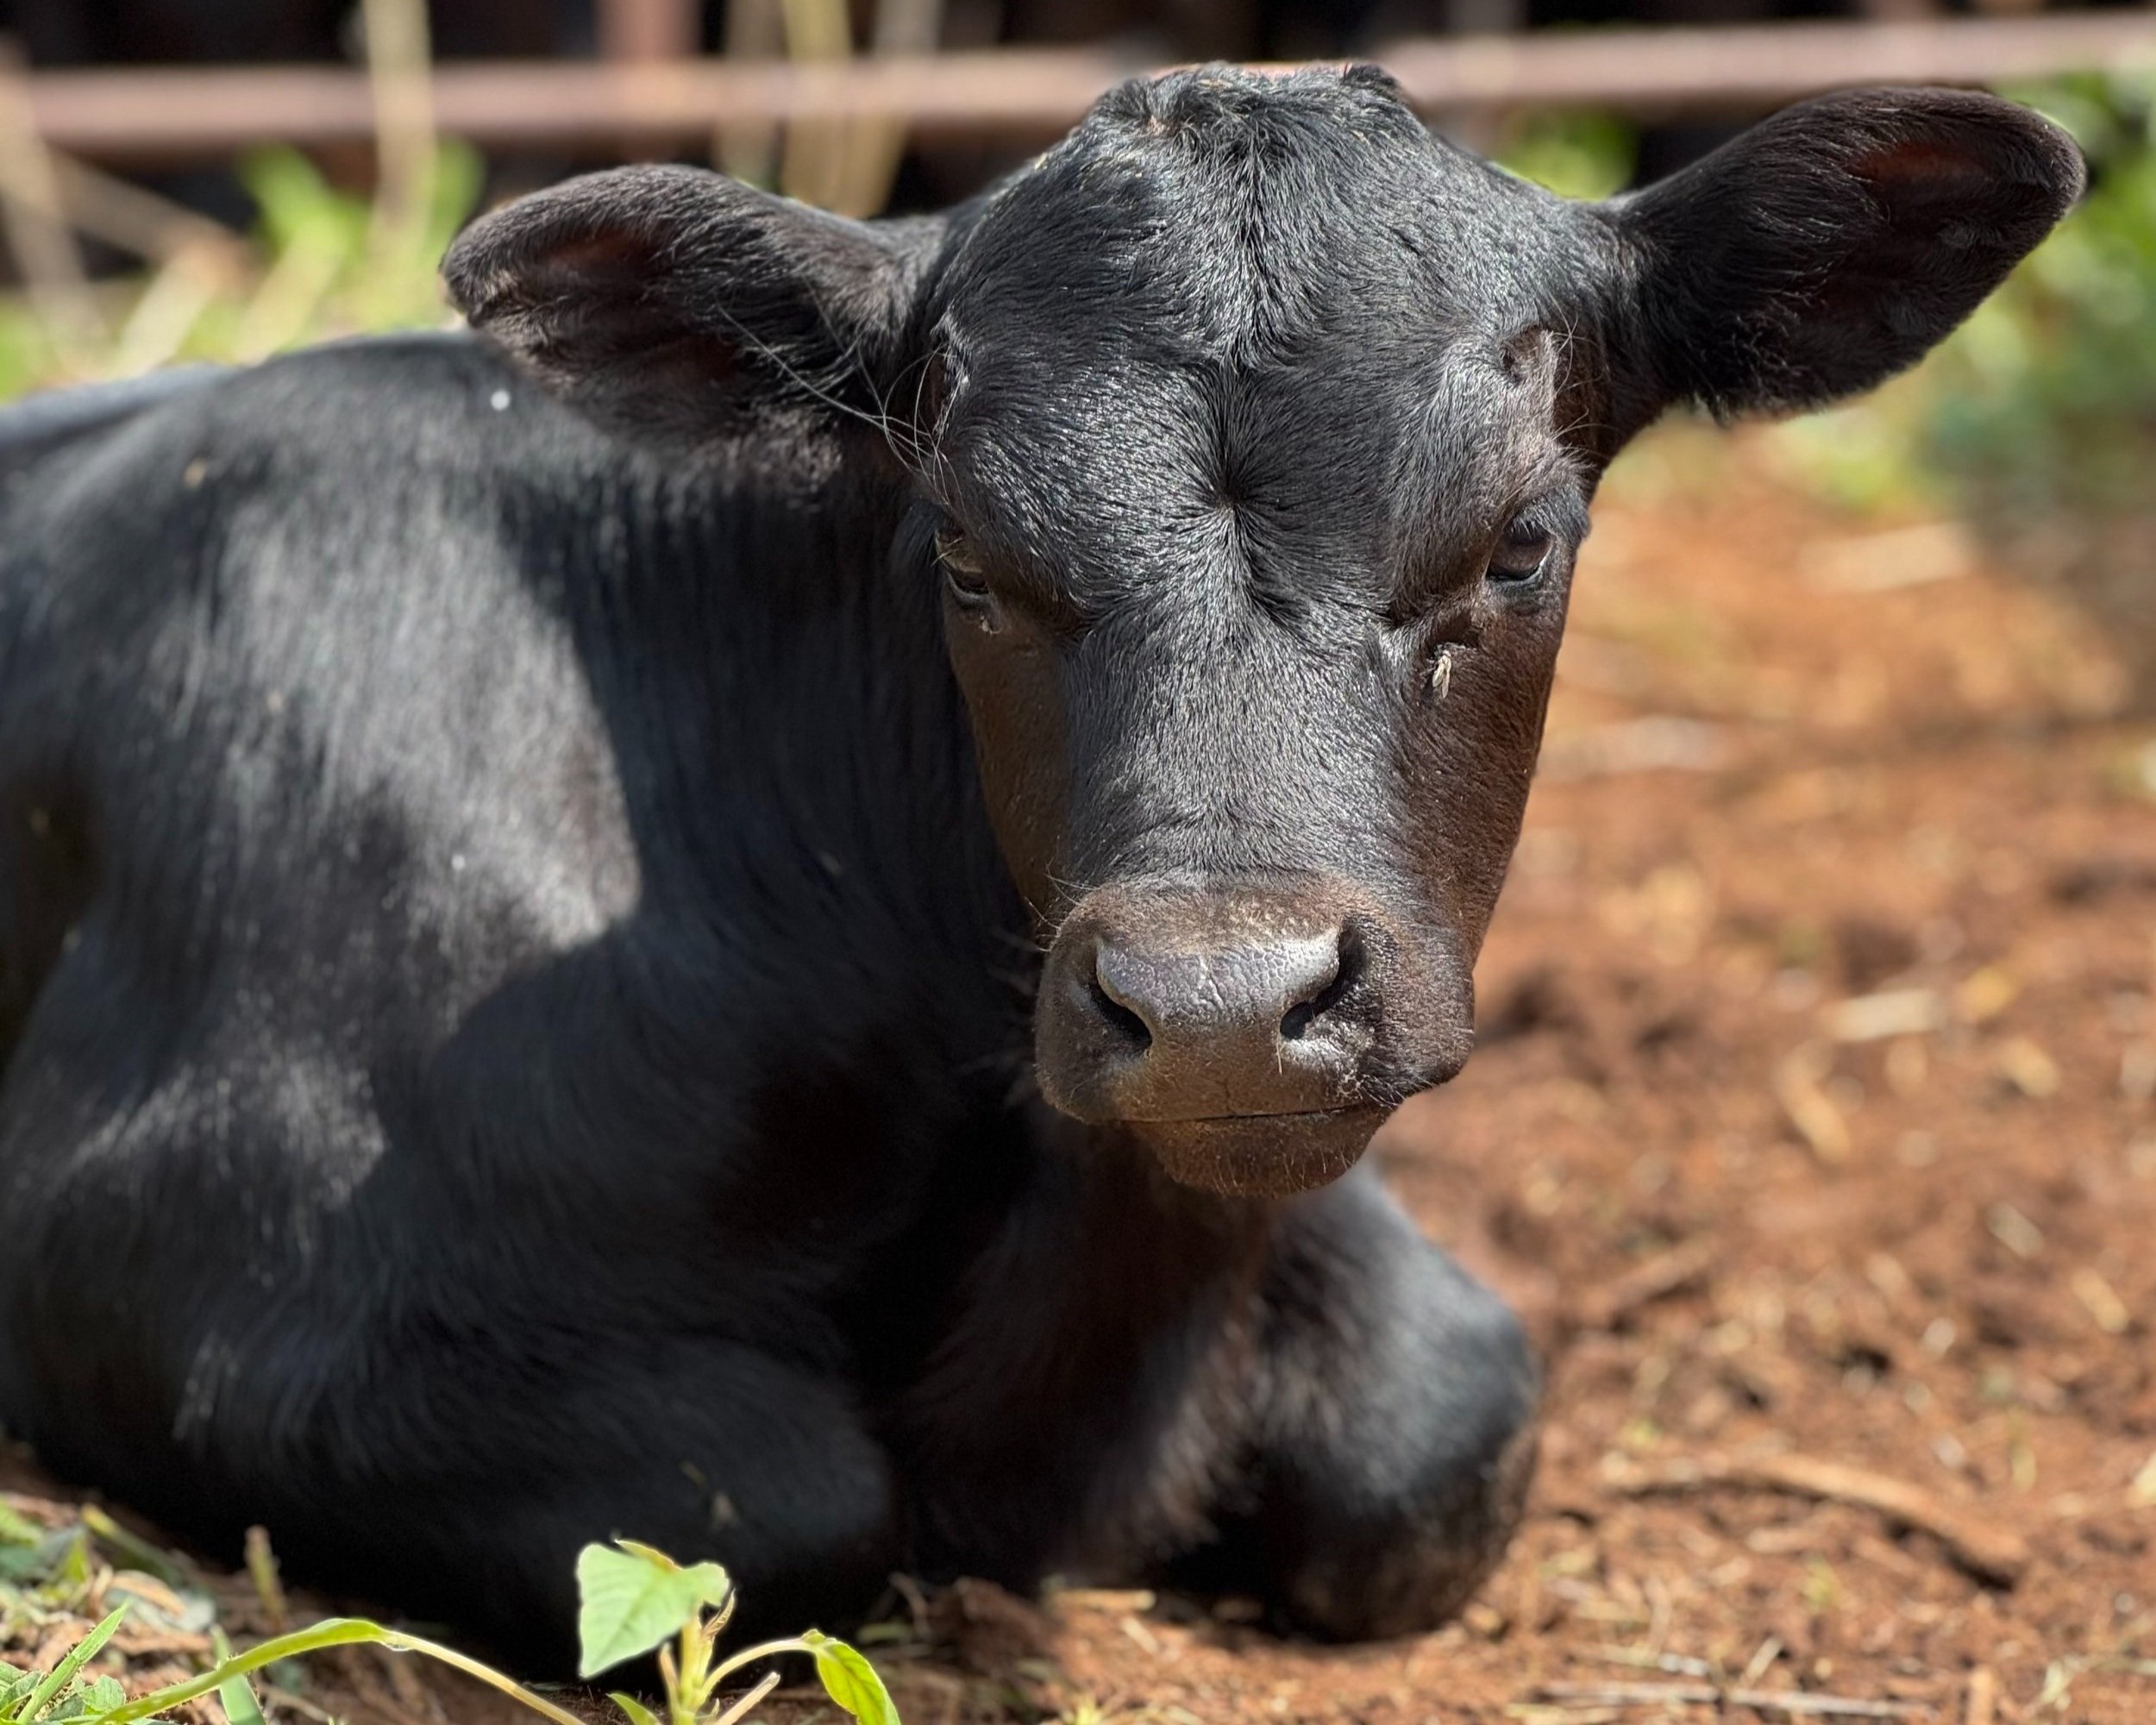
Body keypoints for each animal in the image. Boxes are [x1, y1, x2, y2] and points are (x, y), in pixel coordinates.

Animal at [0, 67, 2081, 1671]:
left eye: (1519, 539)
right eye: (967, 554)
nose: (1222, 1006)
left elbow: (1443, 1424)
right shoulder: (209, 1264)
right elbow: (770, 1497)